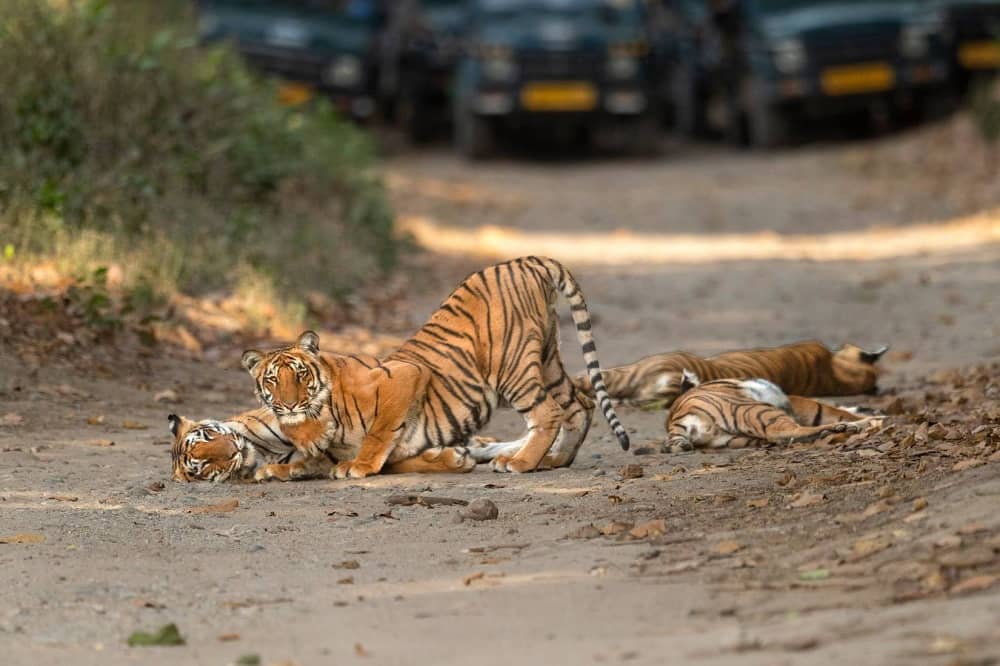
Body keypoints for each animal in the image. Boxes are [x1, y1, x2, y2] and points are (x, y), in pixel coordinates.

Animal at [228, 254, 628, 478]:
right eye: (272, 379)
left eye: (300, 374)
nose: (290, 404)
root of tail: (524, 261)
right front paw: (278, 468)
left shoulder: (404, 376)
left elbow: (379, 433)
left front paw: (359, 466)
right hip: (546, 360)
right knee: (580, 404)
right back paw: (554, 460)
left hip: (513, 367)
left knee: (548, 412)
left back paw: (520, 463)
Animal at [664, 368, 876, 452]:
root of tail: (673, 423)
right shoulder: (793, 402)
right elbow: (828, 409)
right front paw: (868, 416)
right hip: (750, 408)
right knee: (782, 431)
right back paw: (851, 426)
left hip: (736, 439)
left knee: (781, 436)